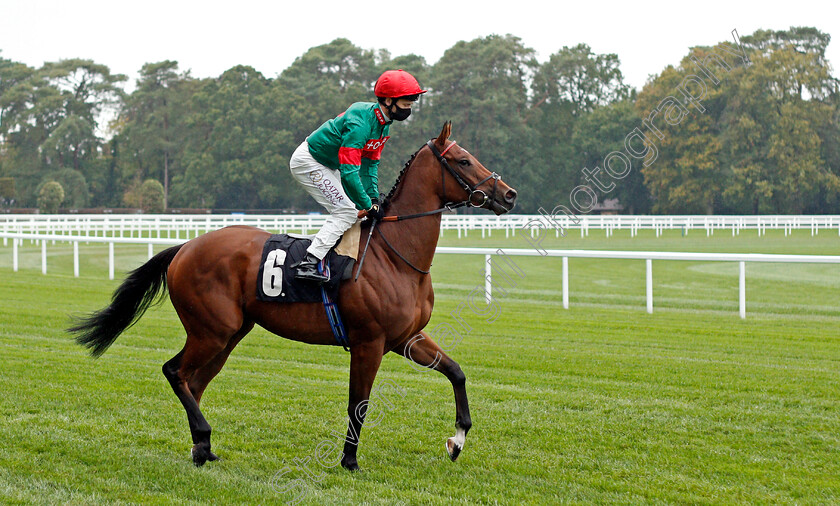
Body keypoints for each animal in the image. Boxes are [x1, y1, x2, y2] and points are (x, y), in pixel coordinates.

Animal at [70, 122, 520, 470]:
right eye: (463, 160)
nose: (509, 194)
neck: (395, 255)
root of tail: (185, 247)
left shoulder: (406, 338)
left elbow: (457, 372)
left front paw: (457, 441)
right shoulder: (369, 342)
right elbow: (359, 404)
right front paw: (349, 461)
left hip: (228, 334)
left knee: (192, 382)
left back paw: (201, 449)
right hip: (211, 331)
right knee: (174, 372)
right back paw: (203, 436)